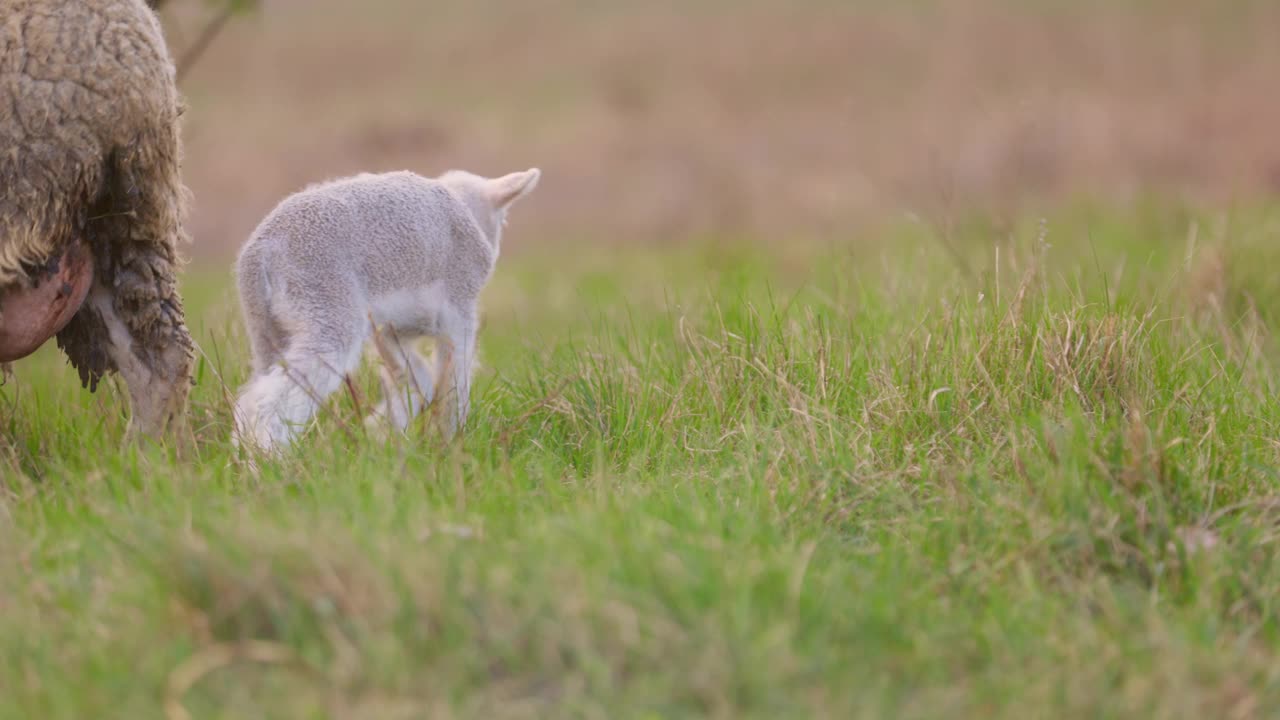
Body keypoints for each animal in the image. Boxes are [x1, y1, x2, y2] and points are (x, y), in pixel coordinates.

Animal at [230, 165, 540, 450]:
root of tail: (263, 252)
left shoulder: (390, 330)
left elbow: (417, 380)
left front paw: (382, 434)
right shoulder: (459, 311)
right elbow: (453, 382)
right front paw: (453, 443)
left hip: (267, 328)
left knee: (252, 395)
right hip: (327, 309)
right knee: (270, 402)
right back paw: (272, 459)